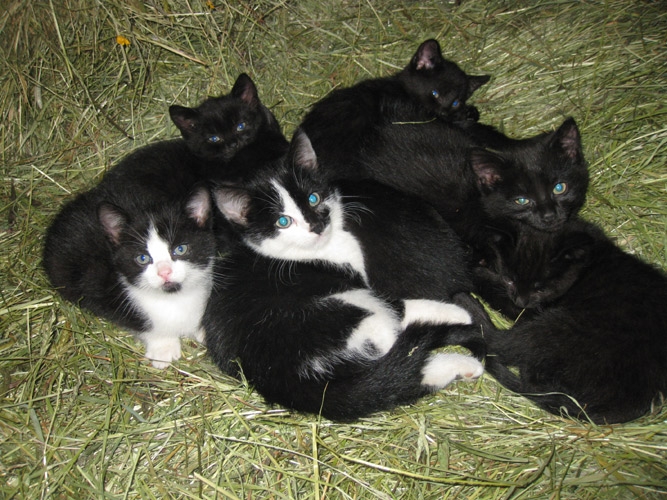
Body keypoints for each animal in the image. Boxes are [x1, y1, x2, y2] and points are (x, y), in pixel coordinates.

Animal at [43, 188, 217, 368]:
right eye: (142, 258)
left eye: (181, 249)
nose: (164, 272)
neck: (174, 298)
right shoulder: (97, 285)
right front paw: (163, 347)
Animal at [204, 131, 486, 420]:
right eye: (283, 221)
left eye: (314, 198)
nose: (316, 225)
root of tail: (278, 377)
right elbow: (398, 305)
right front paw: (456, 311)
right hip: (347, 312)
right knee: (394, 339)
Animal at [454, 218, 667, 422]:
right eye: (510, 279)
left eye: (541, 289)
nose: (521, 300)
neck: (585, 265)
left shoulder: (532, 309)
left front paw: (469, 264)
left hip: (557, 326)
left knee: (499, 344)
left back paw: (467, 303)